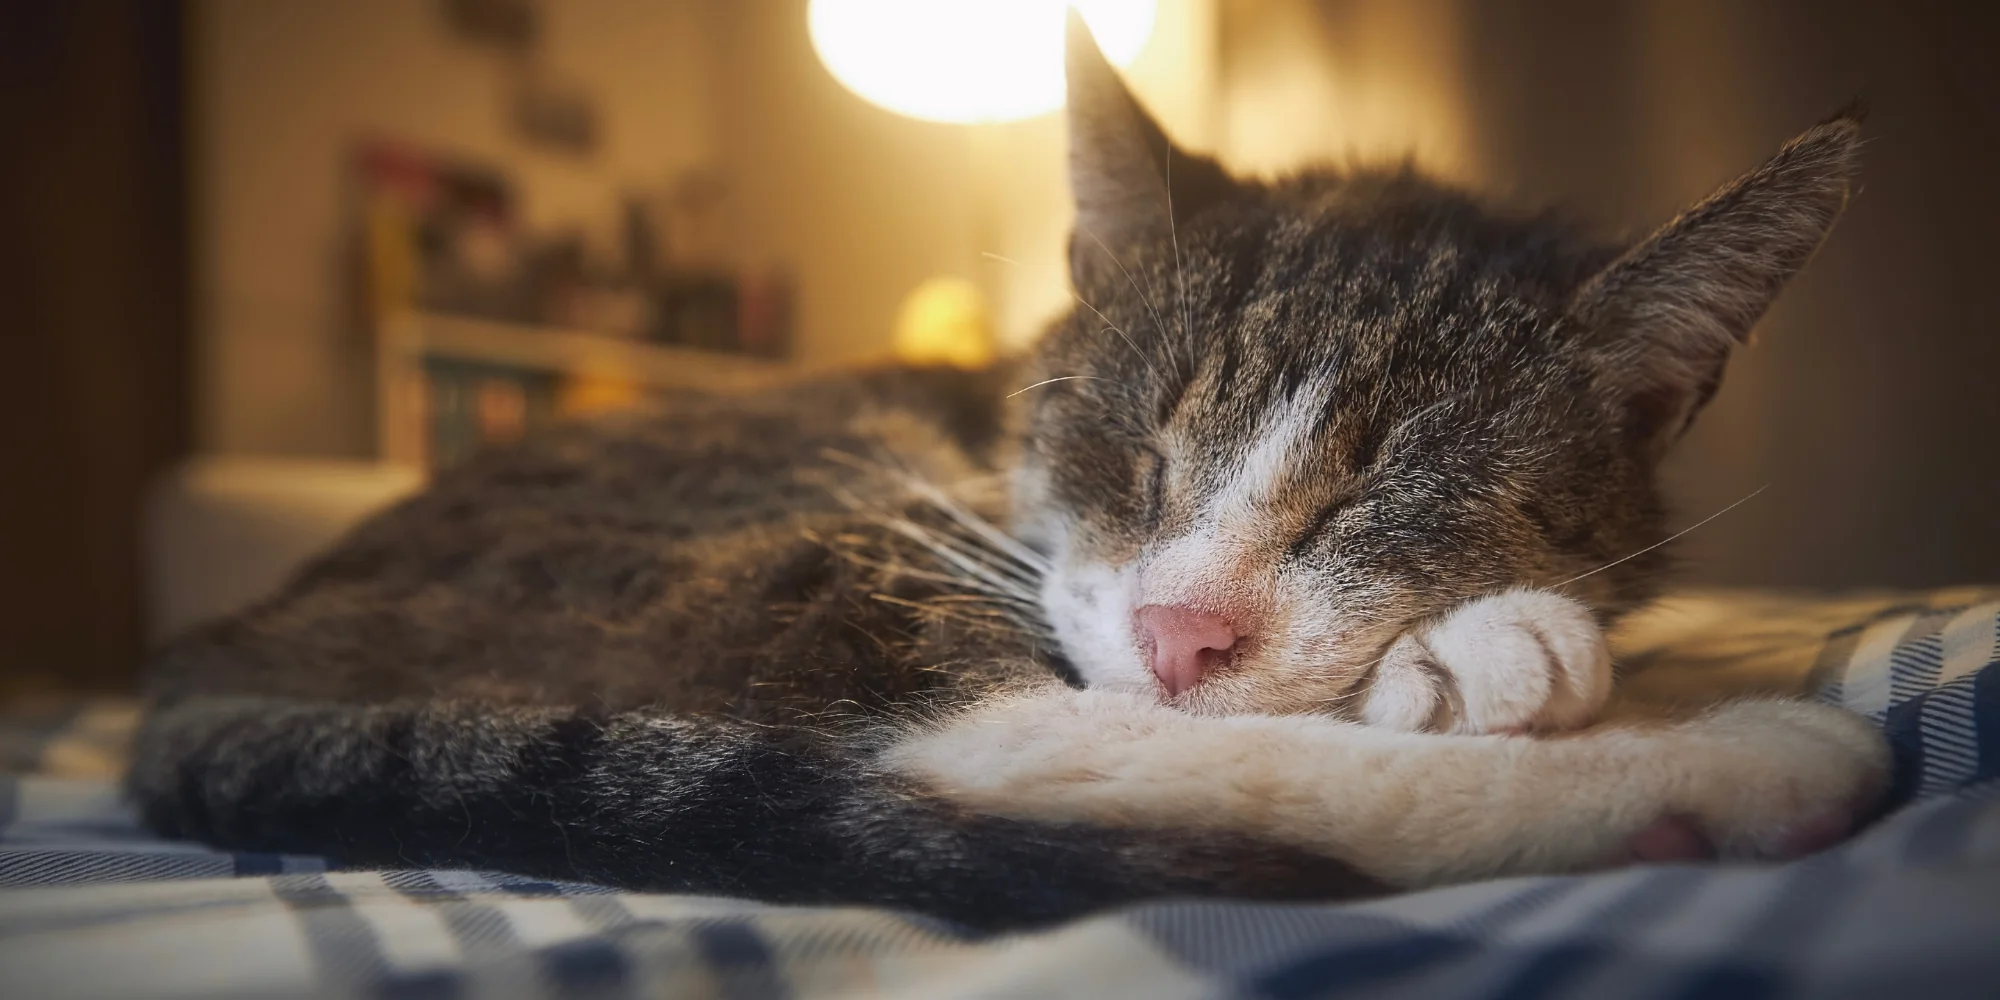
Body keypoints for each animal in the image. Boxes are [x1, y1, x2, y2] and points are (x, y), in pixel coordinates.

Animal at [129, 21, 1888, 928]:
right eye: (1136, 448)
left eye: (1376, 500)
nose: (1182, 633)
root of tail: (203, 670)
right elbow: (1086, 729)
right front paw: (1543, 686)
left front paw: (1466, 650)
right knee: (999, 743)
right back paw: (1719, 769)